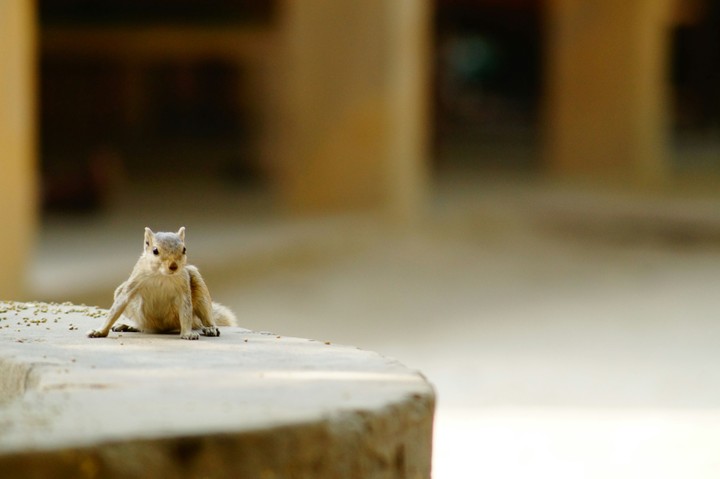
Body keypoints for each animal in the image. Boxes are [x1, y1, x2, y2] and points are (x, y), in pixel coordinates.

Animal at [87, 227, 237, 340]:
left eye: (184, 249)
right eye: (155, 250)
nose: (173, 266)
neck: (162, 275)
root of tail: (162, 328)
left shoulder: (183, 286)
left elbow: (186, 310)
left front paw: (188, 334)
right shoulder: (135, 281)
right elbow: (117, 307)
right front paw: (100, 331)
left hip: (197, 286)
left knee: (203, 315)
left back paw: (210, 328)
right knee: (144, 327)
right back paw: (129, 326)